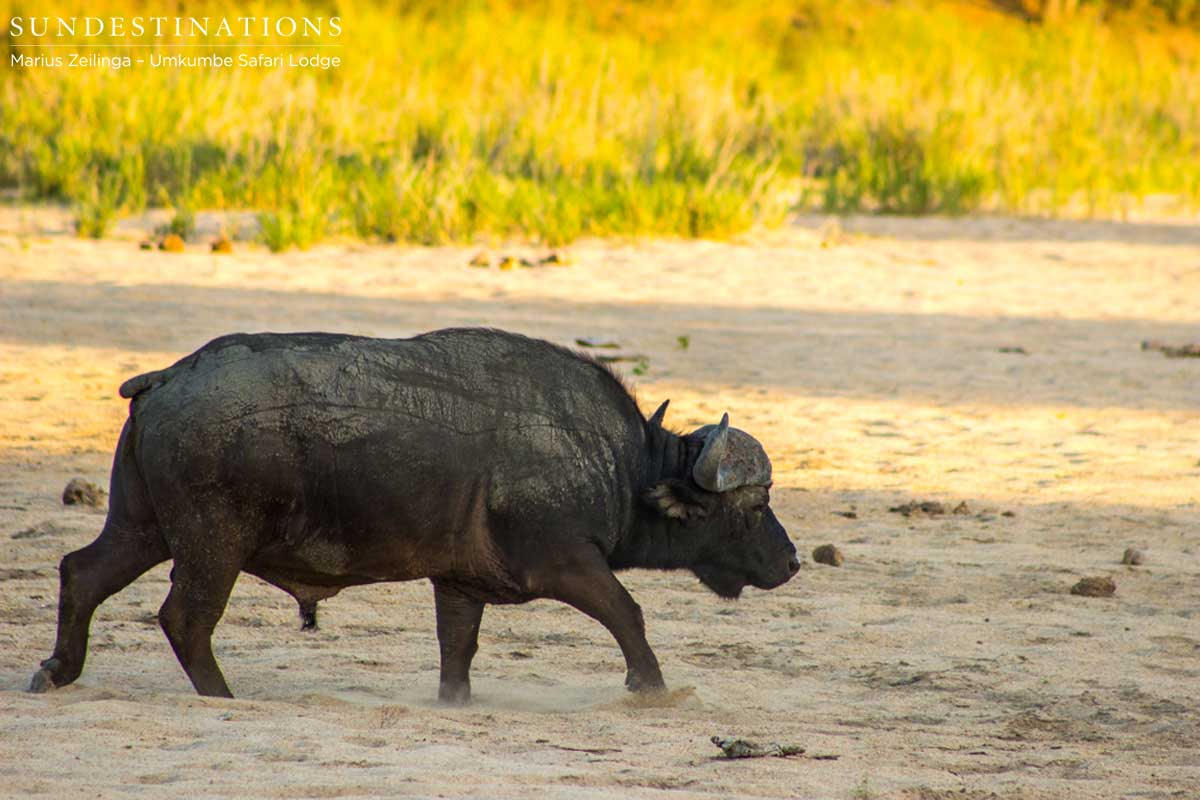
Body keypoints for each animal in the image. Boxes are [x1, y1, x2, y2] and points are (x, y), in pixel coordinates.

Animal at [30, 328, 799, 701]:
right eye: (756, 505)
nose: (792, 560)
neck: (616, 461)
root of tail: (168, 376)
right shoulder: (567, 563)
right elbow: (628, 614)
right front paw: (653, 688)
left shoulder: (459, 585)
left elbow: (456, 651)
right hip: (210, 545)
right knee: (185, 618)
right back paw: (222, 695)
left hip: (143, 528)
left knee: (81, 572)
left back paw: (57, 670)